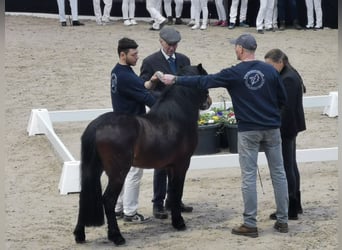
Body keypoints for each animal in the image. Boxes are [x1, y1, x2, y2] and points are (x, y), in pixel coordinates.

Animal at [73, 63, 210, 245]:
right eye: (204, 80)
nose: (209, 102)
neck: (175, 118)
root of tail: (97, 125)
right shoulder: (182, 164)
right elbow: (177, 191)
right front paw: (179, 222)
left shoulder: (170, 165)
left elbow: (172, 192)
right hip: (118, 173)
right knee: (108, 200)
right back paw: (117, 237)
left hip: (94, 169)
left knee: (84, 197)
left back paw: (80, 235)